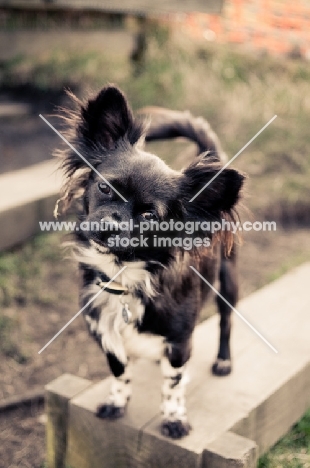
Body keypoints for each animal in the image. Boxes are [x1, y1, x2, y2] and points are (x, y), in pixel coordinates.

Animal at [56, 85, 245, 438]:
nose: (108, 227)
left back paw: (224, 360)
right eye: (104, 187)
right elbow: (118, 370)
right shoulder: (105, 333)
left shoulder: (180, 342)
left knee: (226, 322)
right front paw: (117, 402)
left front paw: (174, 418)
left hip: (229, 280)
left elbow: (173, 384)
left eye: (148, 216)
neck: (123, 276)